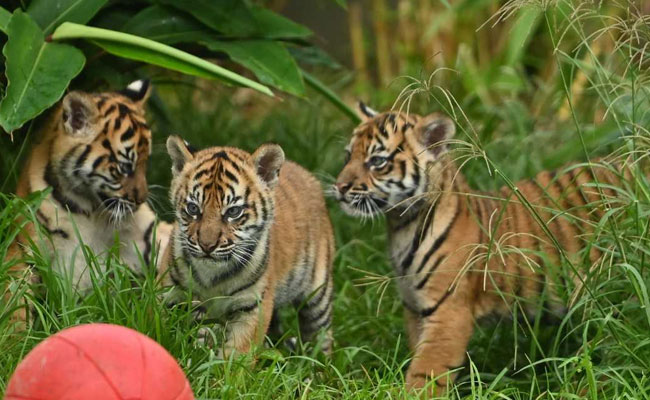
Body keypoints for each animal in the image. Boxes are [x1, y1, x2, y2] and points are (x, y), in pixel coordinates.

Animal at [4, 80, 172, 327]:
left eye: (145, 162)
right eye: (124, 167)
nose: (141, 199)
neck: (90, 209)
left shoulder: (150, 235)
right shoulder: (25, 248)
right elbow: (14, 296)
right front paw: (15, 333)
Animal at [160, 136, 335, 358]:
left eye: (233, 212)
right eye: (193, 208)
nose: (207, 246)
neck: (212, 275)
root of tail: (306, 173)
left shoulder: (253, 307)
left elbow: (238, 354)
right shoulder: (170, 293)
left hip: (318, 294)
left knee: (322, 336)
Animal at [333, 103, 616, 395]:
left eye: (377, 161)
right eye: (348, 156)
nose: (339, 187)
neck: (401, 225)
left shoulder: (448, 313)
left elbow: (425, 374)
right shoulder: (415, 310)